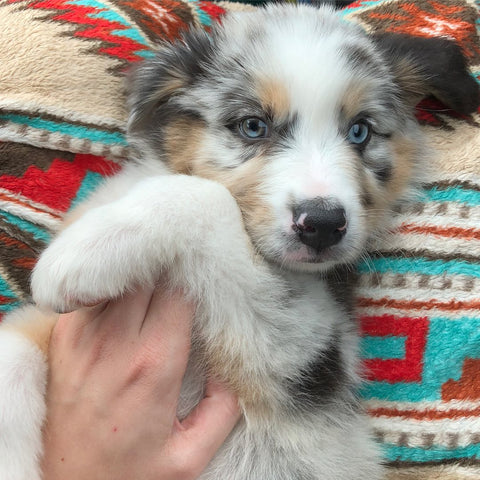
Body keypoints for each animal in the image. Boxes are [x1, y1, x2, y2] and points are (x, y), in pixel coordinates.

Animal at [0, 4, 480, 480]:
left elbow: (208, 197)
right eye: (253, 125)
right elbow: (14, 353)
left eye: (360, 131)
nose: (323, 224)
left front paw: (85, 253)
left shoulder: (301, 345)